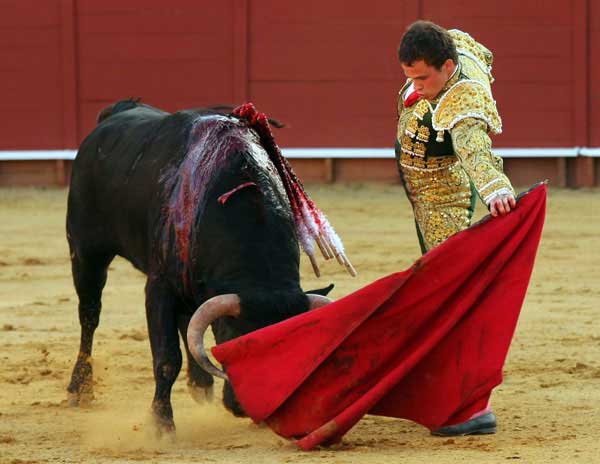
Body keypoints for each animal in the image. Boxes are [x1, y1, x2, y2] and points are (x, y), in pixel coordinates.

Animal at [66, 99, 354, 434]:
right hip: (85, 251)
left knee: (186, 318)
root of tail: (114, 114)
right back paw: (79, 389)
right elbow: (167, 358)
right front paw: (161, 425)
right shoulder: (159, 287)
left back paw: (201, 384)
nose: (245, 408)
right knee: (89, 315)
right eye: (231, 341)